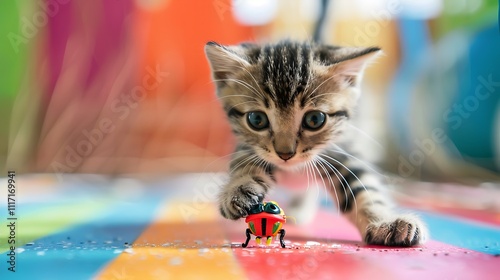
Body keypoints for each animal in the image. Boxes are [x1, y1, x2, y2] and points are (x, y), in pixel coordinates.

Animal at [205, 40, 428, 246]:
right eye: (257, 119)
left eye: (315, 120)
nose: (285, 154)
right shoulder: (247, 148)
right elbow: (245, 164)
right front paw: (238, 191)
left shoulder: (342, 152)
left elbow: (364, 188)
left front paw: (387, 222)